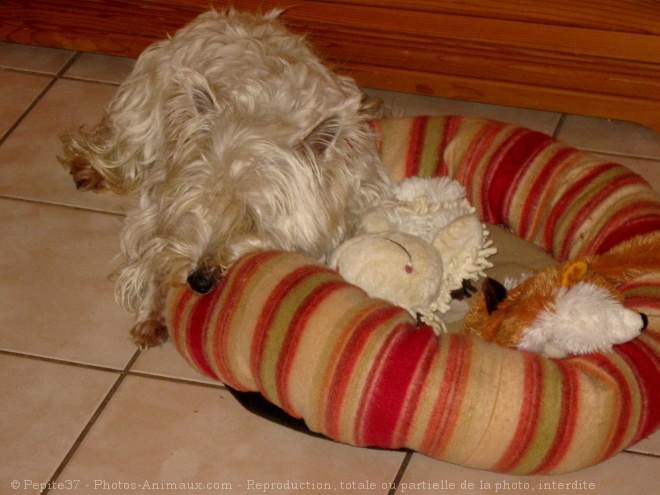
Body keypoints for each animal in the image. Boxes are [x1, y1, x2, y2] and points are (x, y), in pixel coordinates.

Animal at [59, 8, 390, 348]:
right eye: (197, 211)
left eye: (251, 221)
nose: (199, 280)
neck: (264, 119)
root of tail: (230, 15)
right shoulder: (160, 198)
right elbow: (153, 246)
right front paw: (151, 310)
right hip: (143, 113)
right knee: (121, 146)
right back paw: (90, 167)